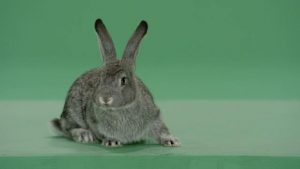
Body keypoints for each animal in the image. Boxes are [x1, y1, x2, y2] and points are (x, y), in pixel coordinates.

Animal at [50, 18, 179, 147]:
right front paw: (111, 141)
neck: (120, 109)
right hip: (73, 111)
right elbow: (101, 133)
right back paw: (84, 135)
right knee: (68, 129)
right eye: (100, 78)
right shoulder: (94, 122)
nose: (105, 99)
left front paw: (172, 140)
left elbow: (161, 129)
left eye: (123, 80)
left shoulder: (153, 116)